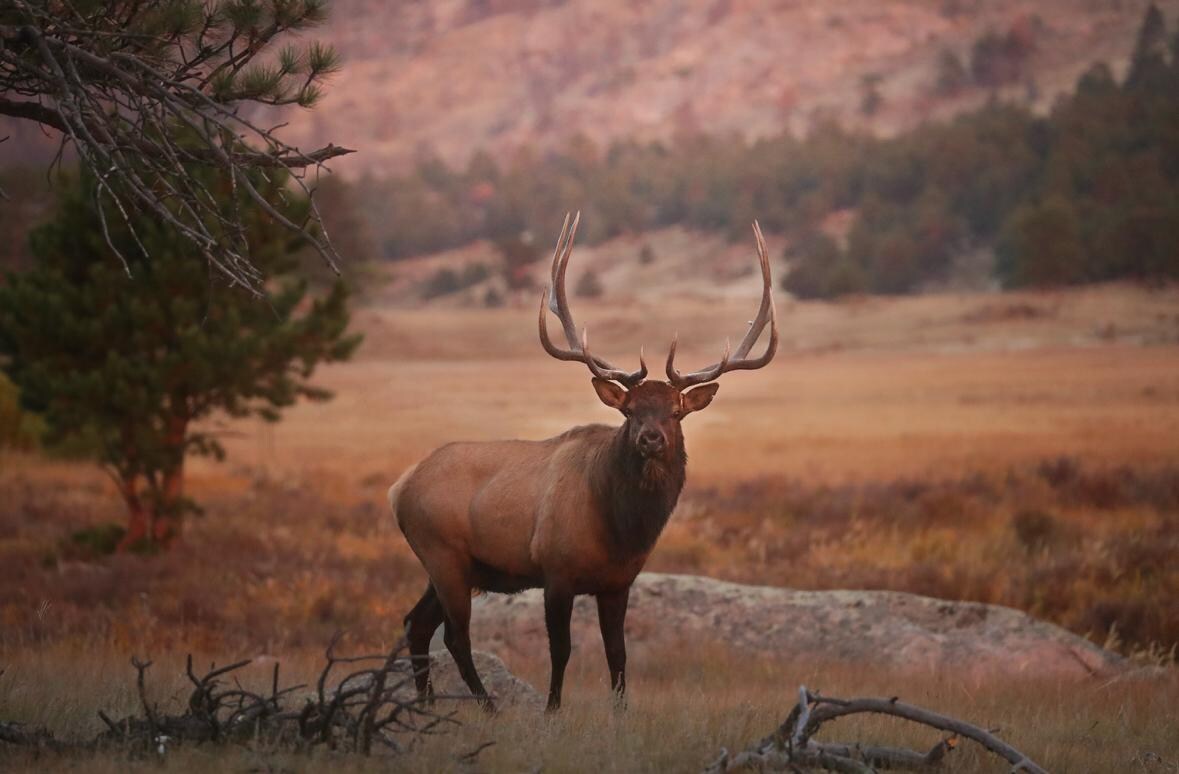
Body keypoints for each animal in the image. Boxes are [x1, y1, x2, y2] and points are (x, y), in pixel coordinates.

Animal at [388, 213, 777, 712]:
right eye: (629, 410)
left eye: (675, 412)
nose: (651, 438)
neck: (619, 530)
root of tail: (399, 487)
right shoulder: (556, 570)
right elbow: (562, 650)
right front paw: (552, 710)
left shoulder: (618, 582)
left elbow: (618, 654)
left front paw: (621, 713)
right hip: (442, 553)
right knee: (455, 636)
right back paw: (487, 706)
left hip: (450, 565)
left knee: (416, 623)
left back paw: (427, 704)